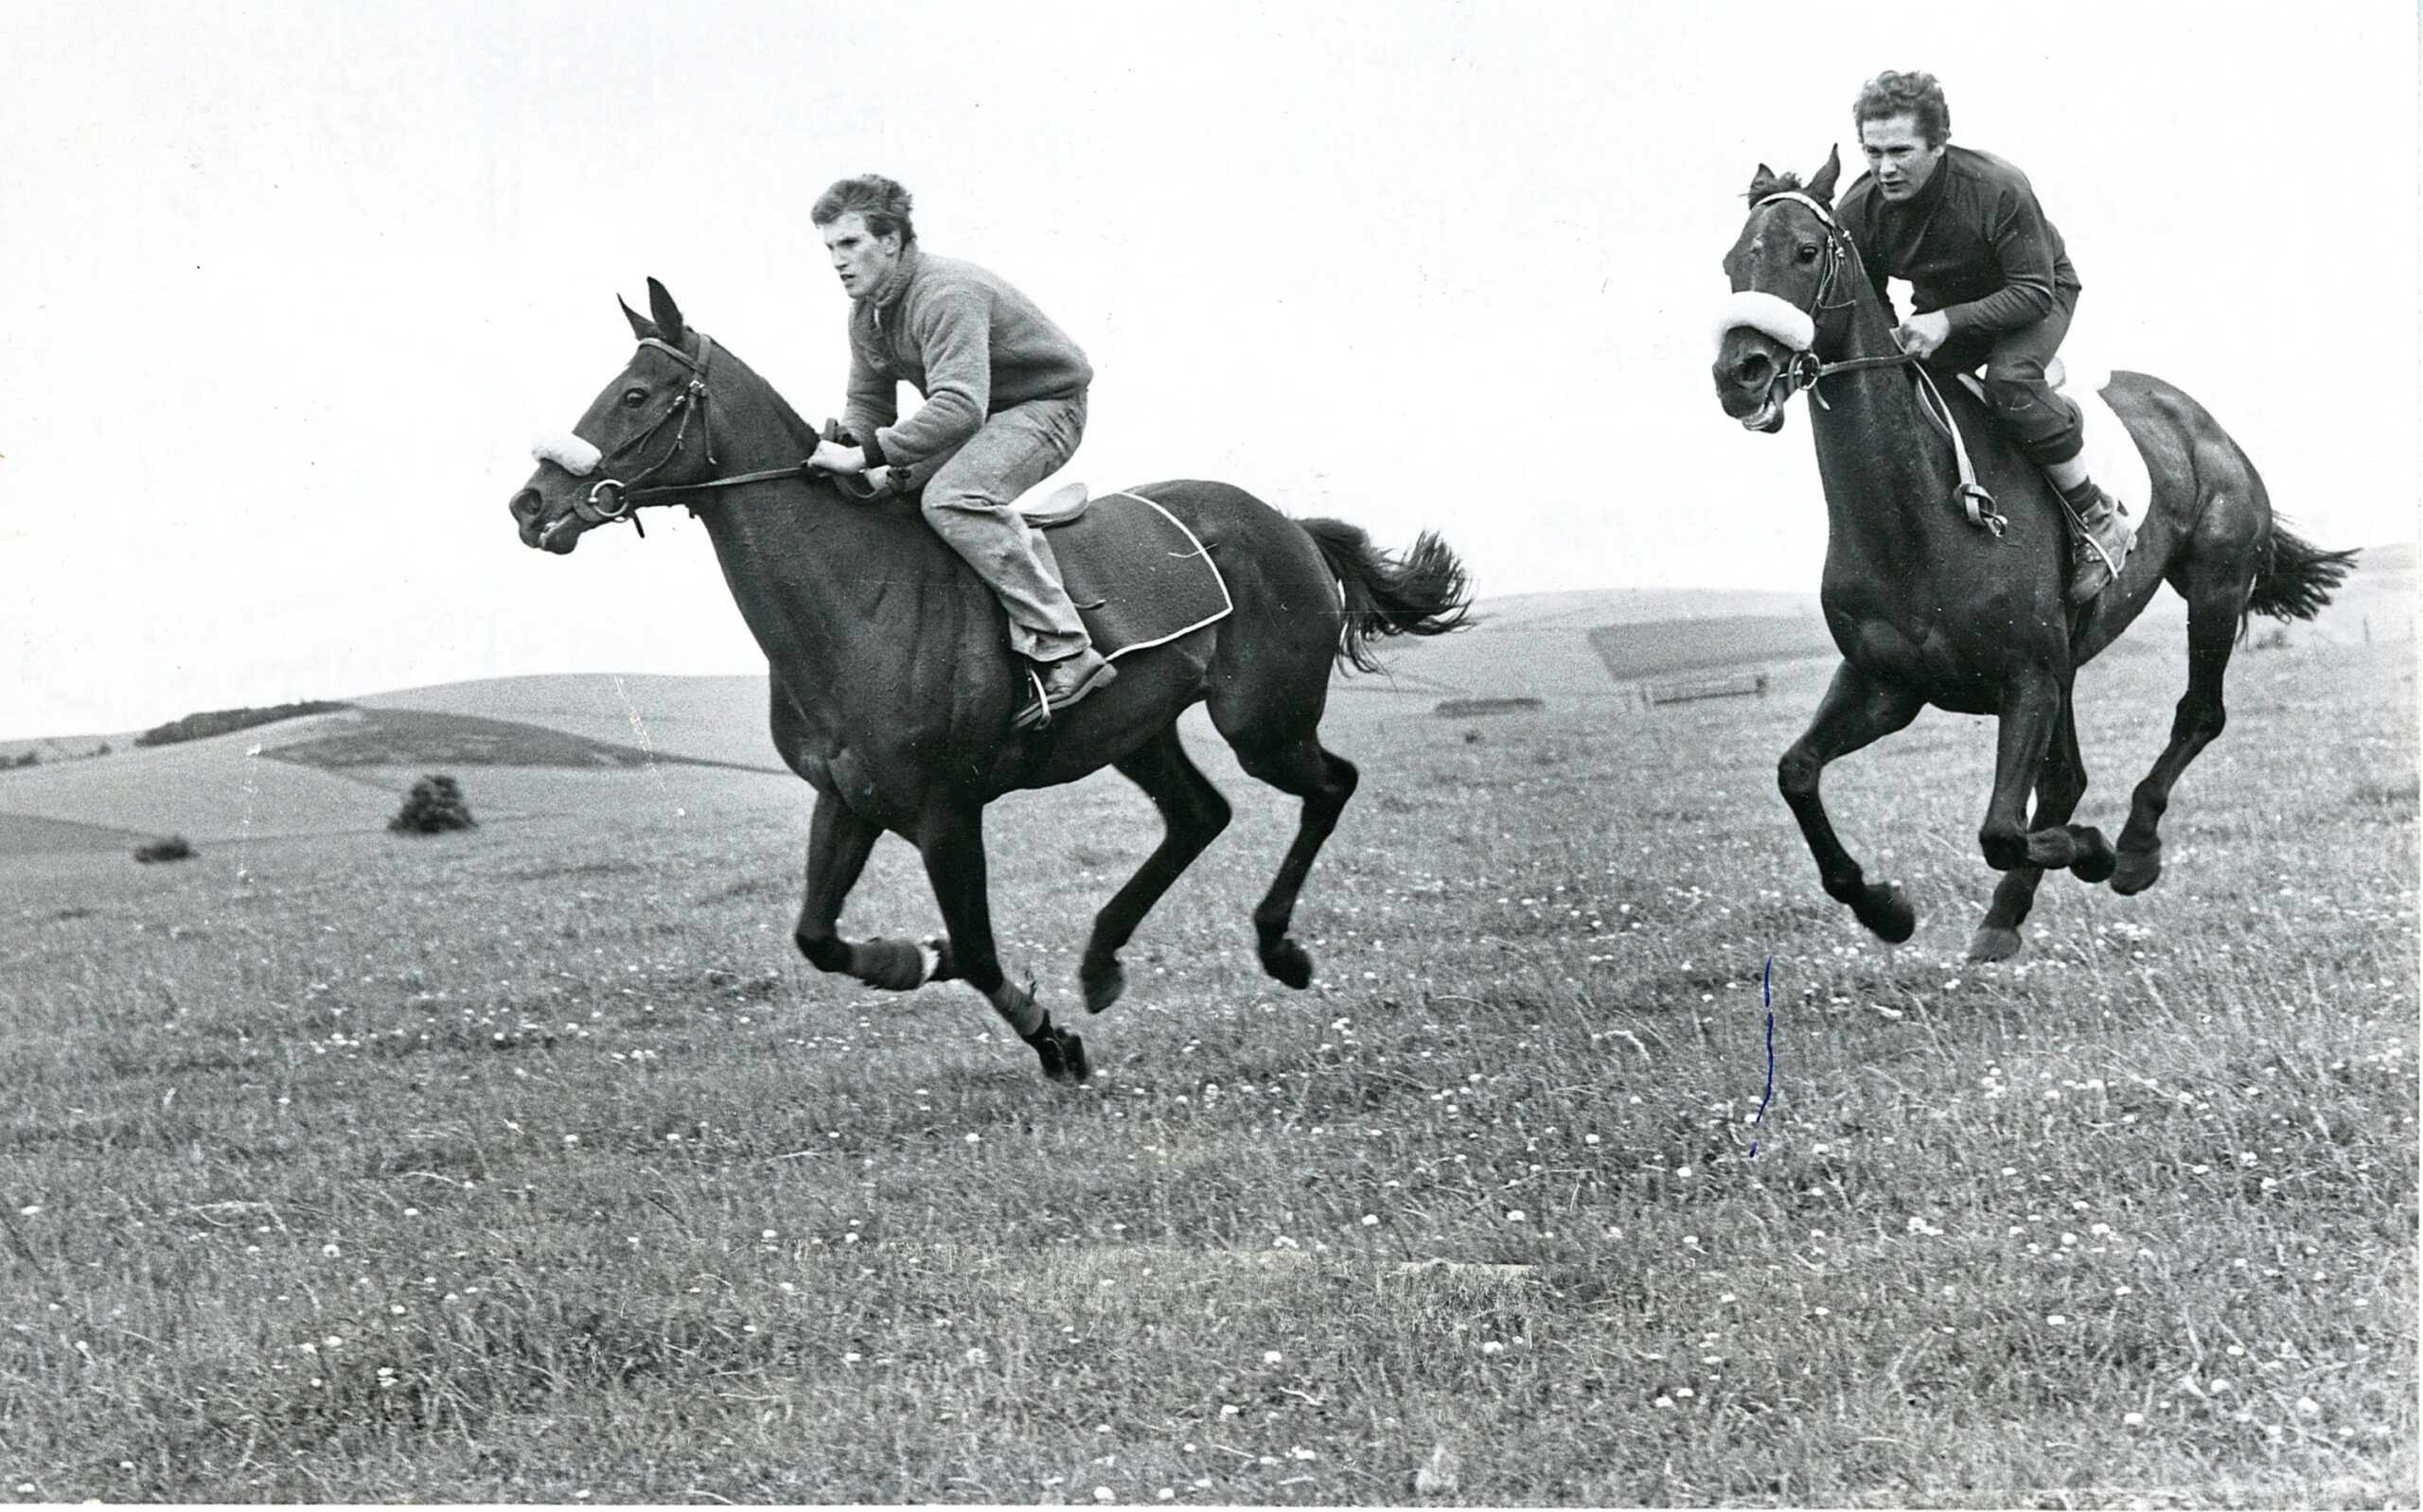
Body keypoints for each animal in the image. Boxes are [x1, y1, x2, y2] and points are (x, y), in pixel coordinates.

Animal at [501, 281, 1463, 1076]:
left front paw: (1047, 1037)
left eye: (634, 394)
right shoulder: (848, 800)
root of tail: (1288, 526)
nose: (531, 503)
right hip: (1139, 729)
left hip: (1263, 721)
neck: (859, 598)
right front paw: (911, 960)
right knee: (1200, 815)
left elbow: (977, 950)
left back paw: (1278, 951)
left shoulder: (944, 811)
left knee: (1329, 786)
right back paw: (1101, 960)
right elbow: (819, 937)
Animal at [1706, 150, 2345, 954]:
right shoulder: (1888, 683)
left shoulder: (2029, 677)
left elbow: (2003, 831)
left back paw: (2133, 850)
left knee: (2198, 715)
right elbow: (1795, 772)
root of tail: (2199, 420)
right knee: (2067, 778)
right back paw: (2006, 917)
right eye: (1731, 263)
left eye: (1805, 251)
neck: (1913, 520)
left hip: (2215, 584)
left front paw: (2096, 851)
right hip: (2074, 657)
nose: (1740, 375)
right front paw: (1885, 907)